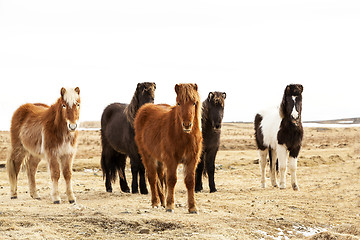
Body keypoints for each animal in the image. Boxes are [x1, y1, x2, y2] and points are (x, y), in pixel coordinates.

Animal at [134, 83, 202, 213]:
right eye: (179, 103)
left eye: (194, 103)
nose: (187, 125)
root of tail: (144, 109)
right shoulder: (171, 160)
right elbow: (171, 180)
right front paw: (170, 205)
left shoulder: (192, 159)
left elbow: (190, 181)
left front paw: (193, 207)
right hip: (147, 155)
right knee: (152, 177)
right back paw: (155, 202)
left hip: (160, 160)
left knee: (160, 177)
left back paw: (162, 201)